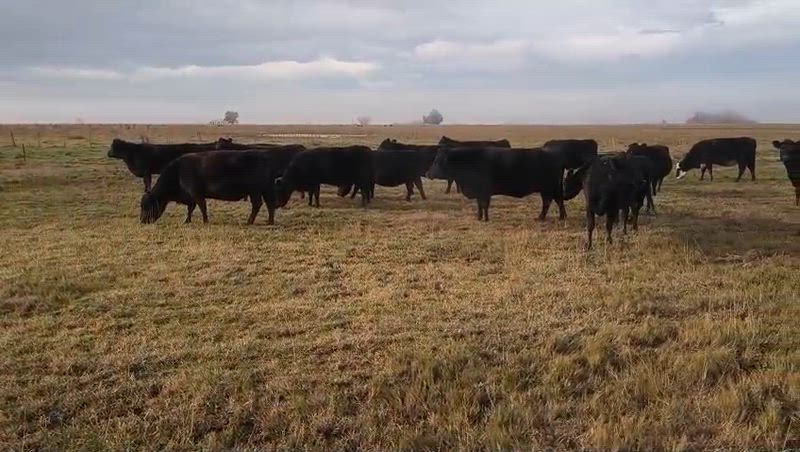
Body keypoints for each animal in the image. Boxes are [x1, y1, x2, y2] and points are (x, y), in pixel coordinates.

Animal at [139, 150, 279, 225]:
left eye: (147, 205)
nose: (142, 220)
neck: (178, 172)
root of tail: (264, 157)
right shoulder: (192, 197)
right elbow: (191, 209)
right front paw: (187, 220)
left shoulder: (197, 194)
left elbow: (202, 208)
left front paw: (205, 221)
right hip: (263, 191)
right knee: (269, 204)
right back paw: (269, 221)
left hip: (255, 191)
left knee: (258, 204)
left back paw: (249, 221)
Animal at [426, 147, 566, 222]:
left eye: (437, 162)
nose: (428, 173)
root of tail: (555, 156)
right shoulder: (479, 192)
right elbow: (480, 205)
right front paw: (479, 217)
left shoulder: (484, 192)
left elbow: (485, 205)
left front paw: (486, 219)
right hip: (550, 189)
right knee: (557, 201)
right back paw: (560, 217)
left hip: (547, 188)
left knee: (548, 202)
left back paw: (542, 217)